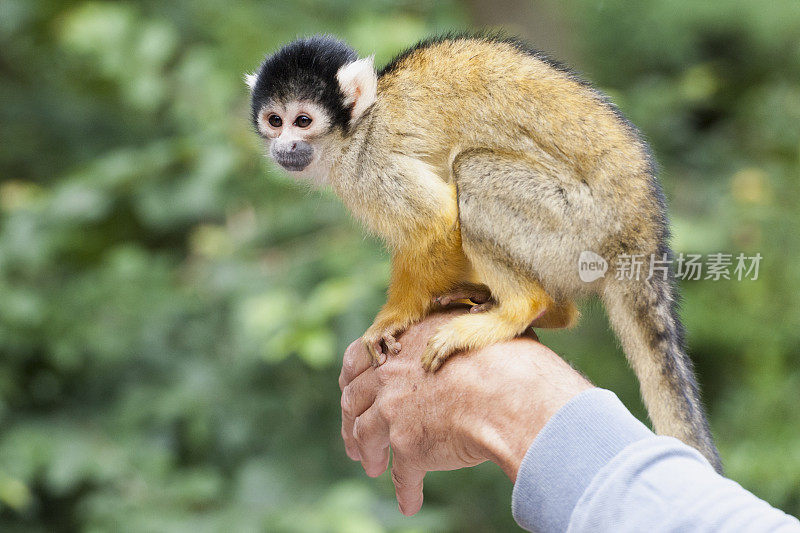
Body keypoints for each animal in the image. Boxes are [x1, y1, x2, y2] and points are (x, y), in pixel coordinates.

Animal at [247, 35, 720, 472]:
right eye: (275, 121)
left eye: (302, 121)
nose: (284, 146)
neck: (358, 126)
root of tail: (643, 226)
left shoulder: (369, 163)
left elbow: (438, 222)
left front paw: (396, 317)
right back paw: (545, 310)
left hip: (578, 225)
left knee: (471, 171)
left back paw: (522, 307)